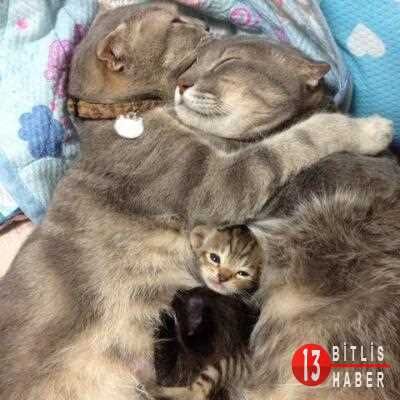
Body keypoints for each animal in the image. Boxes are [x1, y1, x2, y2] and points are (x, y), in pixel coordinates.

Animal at [0, 20, 392, 400]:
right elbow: (298, 140)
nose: (183, 83)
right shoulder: (222, 183)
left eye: (228, 61)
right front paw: (365, 129)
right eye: (191, 64)